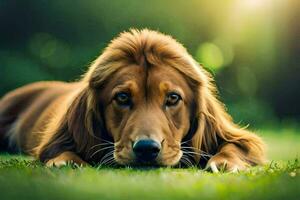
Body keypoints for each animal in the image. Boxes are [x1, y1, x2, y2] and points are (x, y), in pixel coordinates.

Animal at [0, 29, 264, 172]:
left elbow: (237, 144)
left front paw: (227, 162)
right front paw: (66, 160)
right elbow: (58, 148)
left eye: (173, 98)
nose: (147, 148)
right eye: (122, 97)